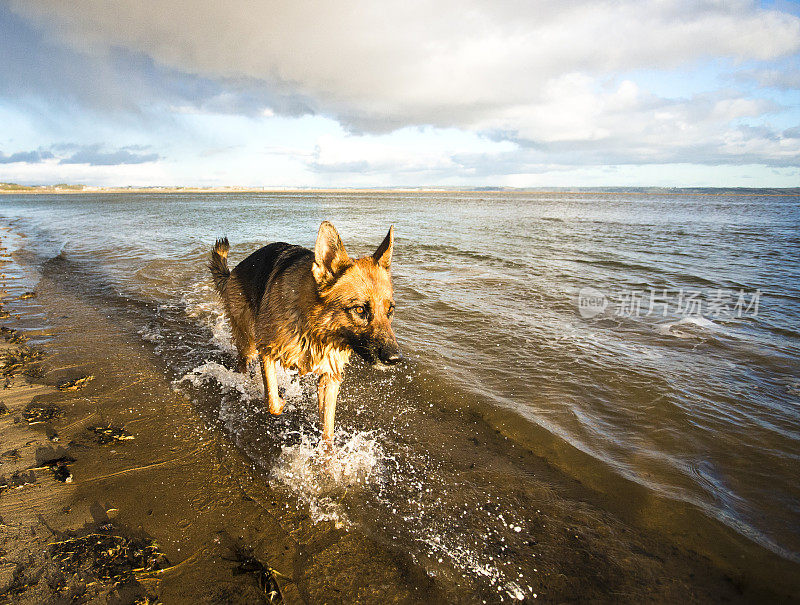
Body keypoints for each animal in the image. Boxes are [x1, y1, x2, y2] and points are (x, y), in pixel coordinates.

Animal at [209, 222, 404, 444]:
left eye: (390, 311)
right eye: (360, 310)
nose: (395, 358)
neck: (316, 328)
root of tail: (233, 271)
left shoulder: (329, 377)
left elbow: (327, 430)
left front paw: (327, 452)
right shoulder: (266, 350)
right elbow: (273, 402)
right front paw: (281, 401)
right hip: (247, 342)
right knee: (243, 364)